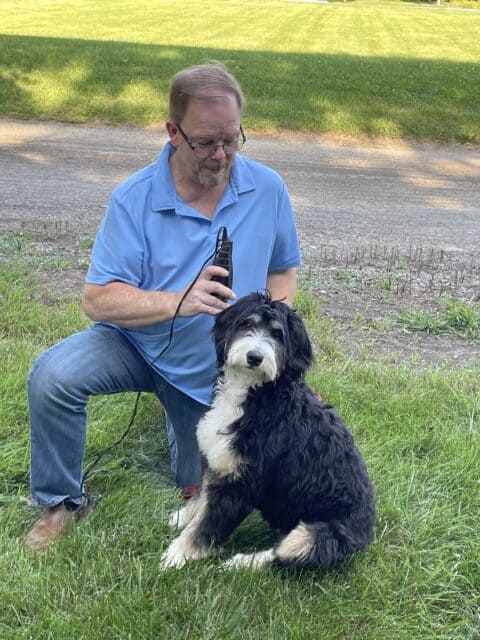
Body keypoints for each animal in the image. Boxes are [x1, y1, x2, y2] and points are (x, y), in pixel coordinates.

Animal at [161, 292, 376, 568]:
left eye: (277, 334)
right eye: (247, 324)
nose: (254, 357)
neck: (255, 394)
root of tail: (367, 533)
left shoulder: (242, 482)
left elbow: (208, 524)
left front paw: (178, 555)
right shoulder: (220, 462)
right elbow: (202, 500)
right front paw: (181, 518)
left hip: (317, 535)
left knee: (279, 555)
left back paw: (239, 563)